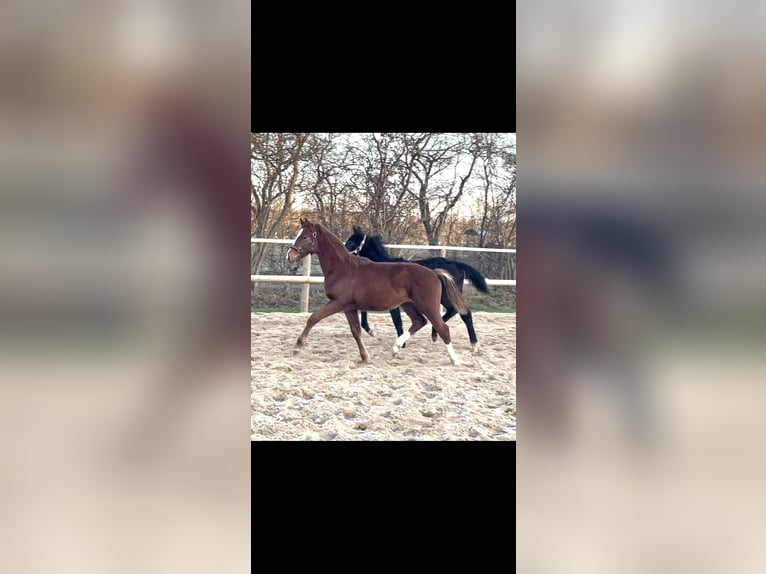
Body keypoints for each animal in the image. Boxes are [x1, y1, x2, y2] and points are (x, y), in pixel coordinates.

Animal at [286, 217, 469, 365]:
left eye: (304, 236)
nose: (290, 255)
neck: (343, 269)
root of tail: (434, 273)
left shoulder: (339, 303)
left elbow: (313, 318)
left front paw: (297, 347)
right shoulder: (350, 307)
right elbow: (356, 331)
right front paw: (365, 357)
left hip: (428, 305)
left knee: (442, 328)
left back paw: (455, 360)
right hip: (409, 304)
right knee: (419, 322)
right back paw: (396, 348)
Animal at [344, 226, 490, 352]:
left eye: (350, 241)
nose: (343, 254)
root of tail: (457, 264)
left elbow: (397, 321)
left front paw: (401, 343)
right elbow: (365, 313)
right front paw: (373, 332)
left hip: (447, 296)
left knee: (463, 313)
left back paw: (473, 344)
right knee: (455, 312)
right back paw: (436, 334)